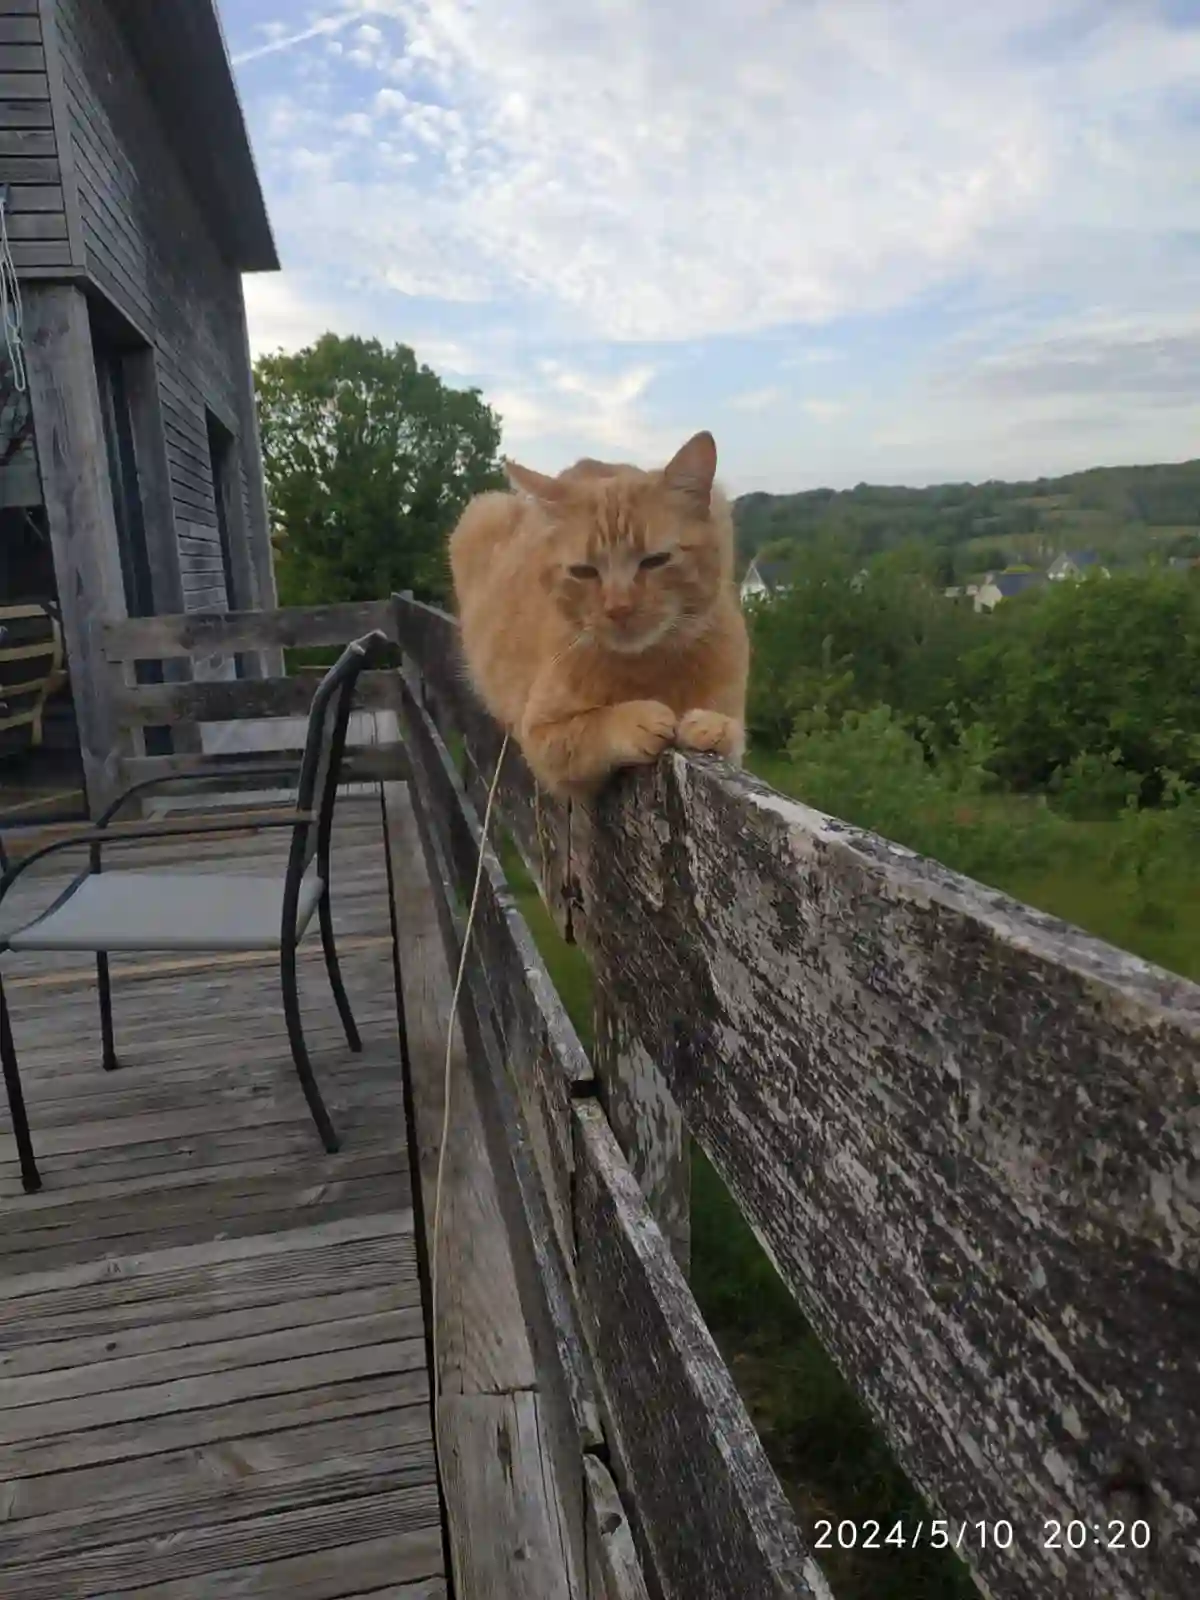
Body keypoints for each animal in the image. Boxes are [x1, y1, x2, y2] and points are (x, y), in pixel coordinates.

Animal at [451, 432, 752, 800]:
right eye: (584, 571)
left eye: (655, 560)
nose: (618, 607)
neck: (648, 667)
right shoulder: (540, 737)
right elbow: (589, 727)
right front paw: (636, 719)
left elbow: (732, 738)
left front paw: (713, 727)